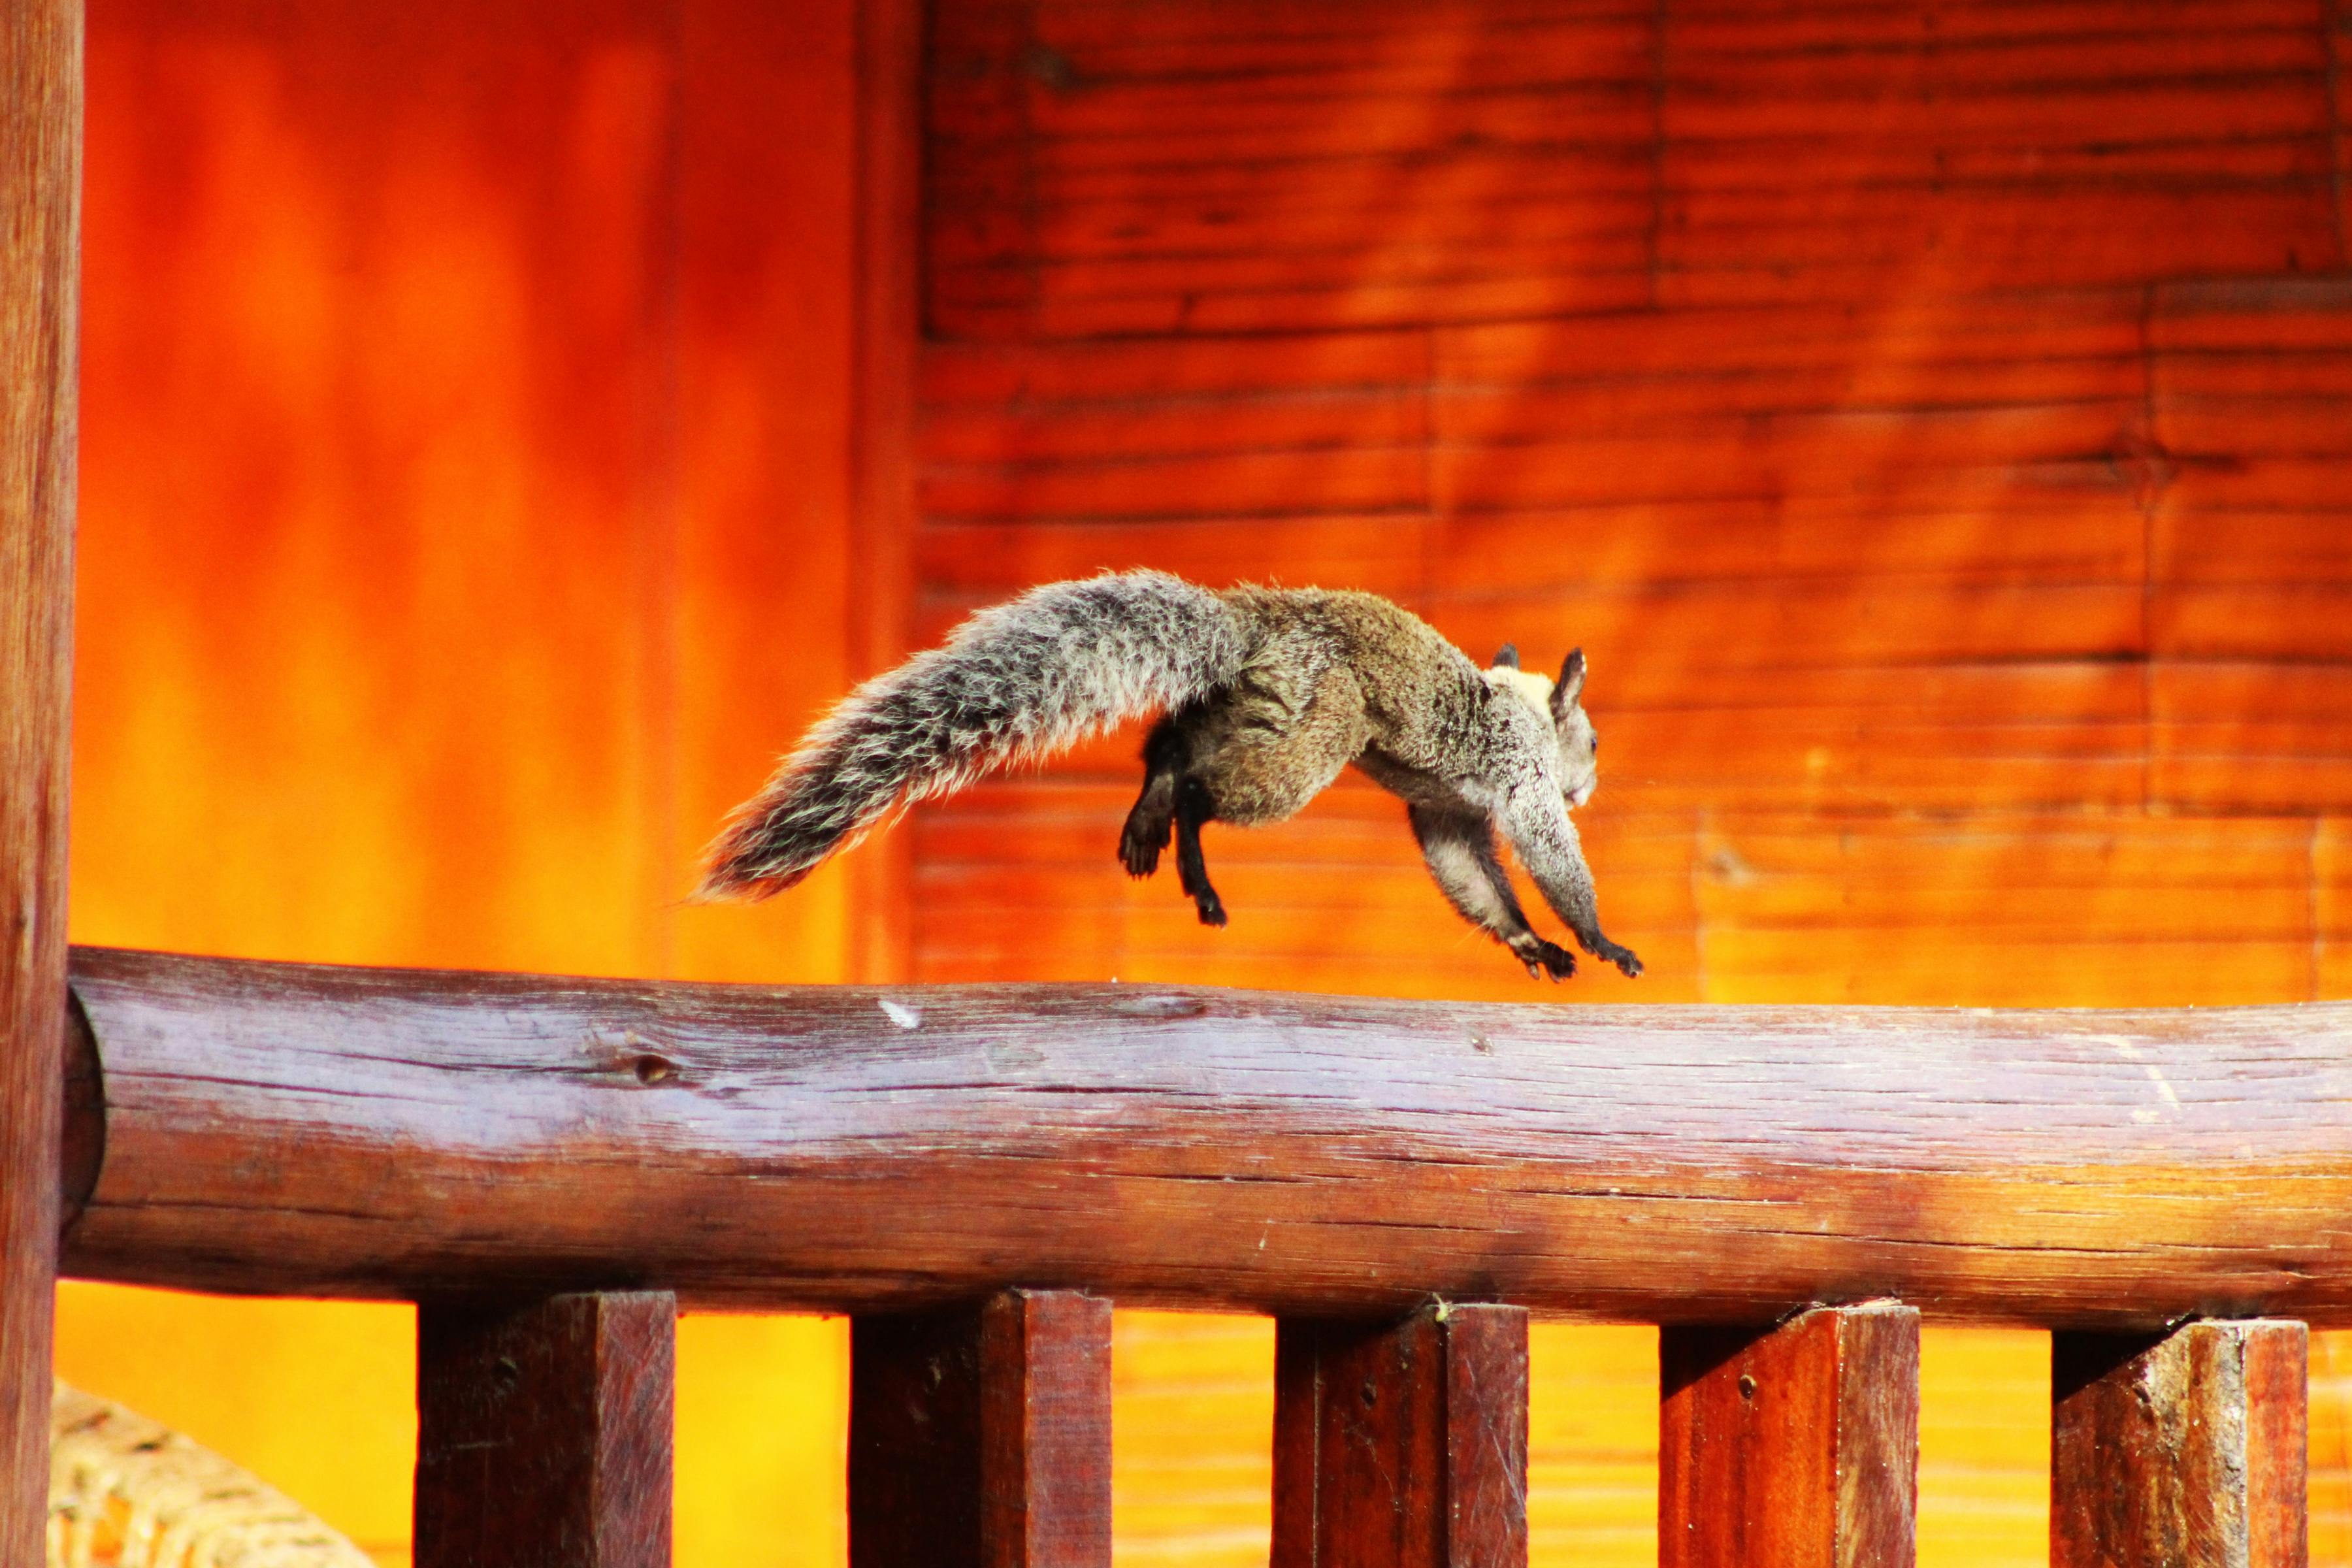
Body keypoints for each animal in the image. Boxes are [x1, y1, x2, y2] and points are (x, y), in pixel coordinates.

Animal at [699, 570, 1641, 982]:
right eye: (1593, 742)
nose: (1593, 785)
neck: (1519, 703)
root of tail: (1255, 624)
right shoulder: (1519, 781)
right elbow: (1549, 856)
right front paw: (1599, 939)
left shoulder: (1449, 818)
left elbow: (1473, 879)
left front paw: (1530, 943)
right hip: (1317, 729)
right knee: (1201, 785)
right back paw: (1193, 860)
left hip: (1251, 707)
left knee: (1169, 752)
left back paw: (1149, 825)